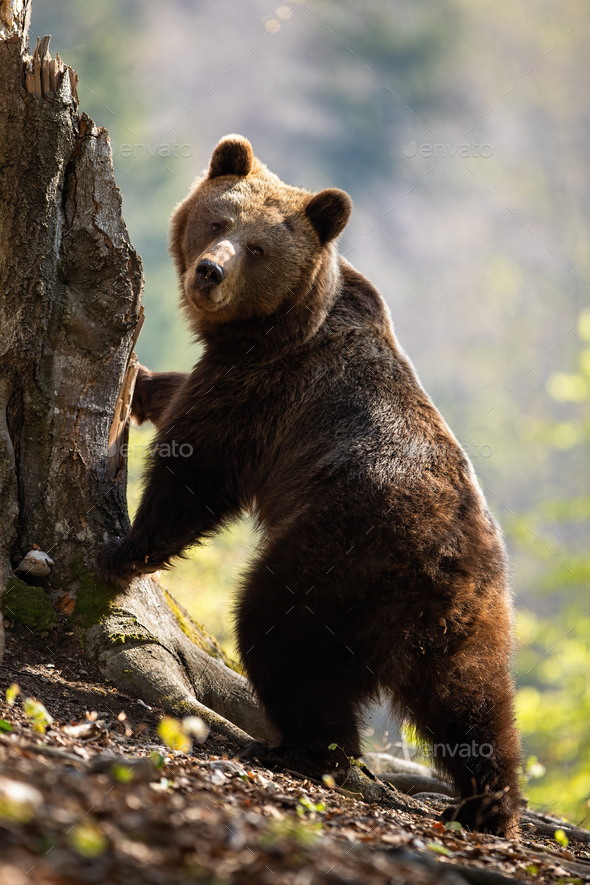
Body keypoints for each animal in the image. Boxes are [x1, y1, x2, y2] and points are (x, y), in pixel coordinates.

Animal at [98, 134, 522, 836]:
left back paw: (305, 746)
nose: (209, 272)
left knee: (280, 630)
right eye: (218, 221)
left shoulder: (267, 387)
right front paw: (146, 381)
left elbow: (199, 466)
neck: (280, 323)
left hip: (340, 555)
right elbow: (183, 401)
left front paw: (127, 550)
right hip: (472, 616)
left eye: (258, 248)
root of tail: (447, 564)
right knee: (472, 699)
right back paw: (486, 804)